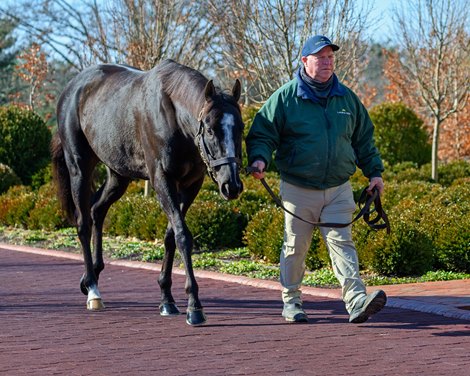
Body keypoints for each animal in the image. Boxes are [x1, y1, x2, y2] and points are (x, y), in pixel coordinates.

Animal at [51, 60, 244, 324]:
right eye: (211, 130)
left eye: (241, 127)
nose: (231, 185)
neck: (174, 117)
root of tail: (72, 88)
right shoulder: (162, 179)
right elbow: (183, 235)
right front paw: (194, 306)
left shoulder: (191, 184)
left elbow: (171, 235)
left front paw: (167, 298)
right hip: (79, 167)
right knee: (83, 223)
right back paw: (92, 289)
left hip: (118, 174)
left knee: (97, 210)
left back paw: (93, 275)